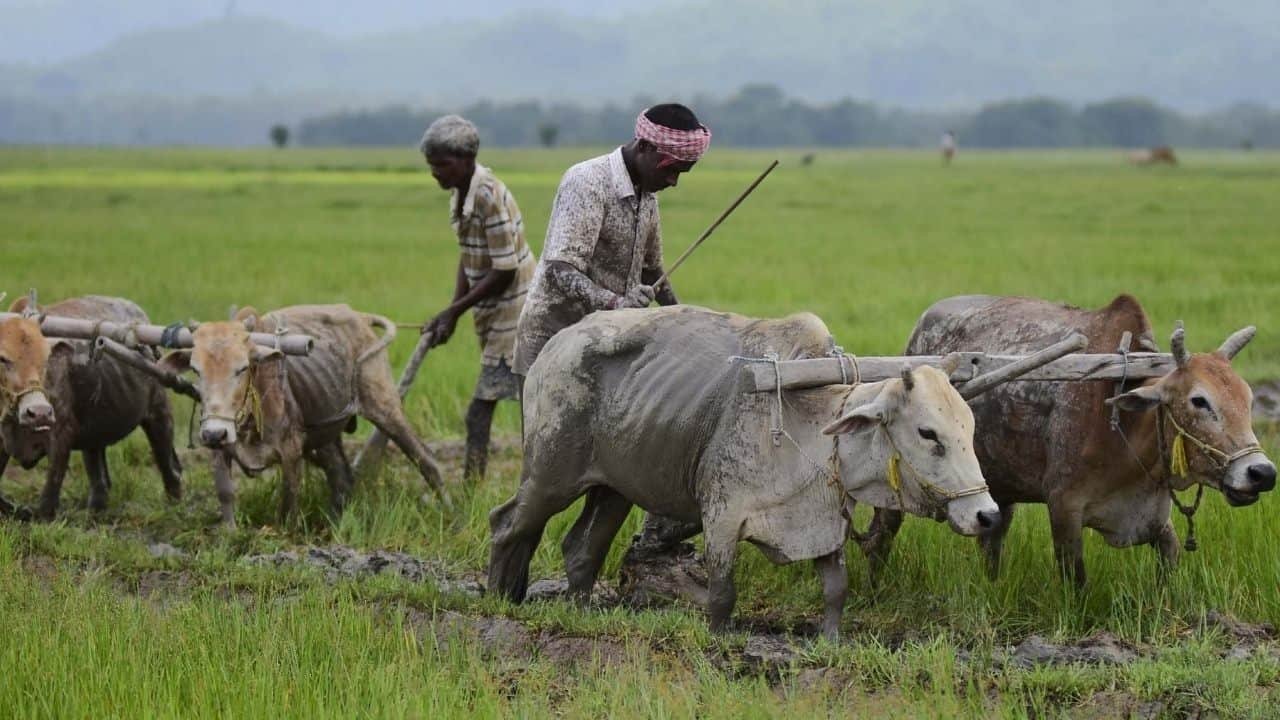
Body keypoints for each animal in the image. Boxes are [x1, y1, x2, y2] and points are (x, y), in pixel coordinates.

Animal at [483, 304, 1003, 635]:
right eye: (928, 433)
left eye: (969, 426)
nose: (987, 515)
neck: (813, 426)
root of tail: (556, 344)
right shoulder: (723, 517)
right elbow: (722, 594)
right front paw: (718, 640)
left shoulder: (823, 522)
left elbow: (836, 591)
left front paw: (830, 642)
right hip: (550, 476)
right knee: (507, 525)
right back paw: (496, 599)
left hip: (614, 487)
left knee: (582, 548)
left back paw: (581, 613)